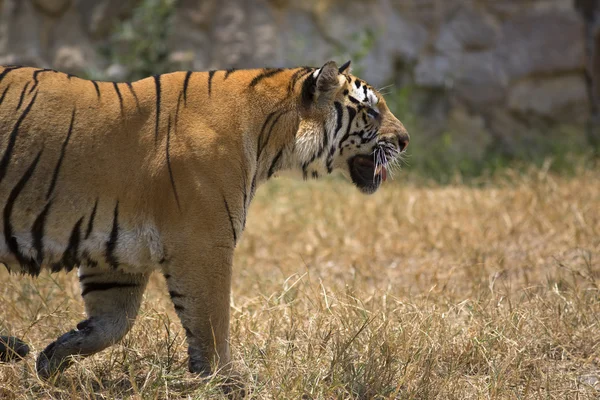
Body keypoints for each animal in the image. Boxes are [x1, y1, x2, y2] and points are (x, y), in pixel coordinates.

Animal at [0, 61, 408, 382]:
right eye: (371, 112)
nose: (405, 140)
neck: (272, 139)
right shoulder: (203, 243)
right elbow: (212, 322)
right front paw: (224, 382)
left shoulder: (117, 254)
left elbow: (111, 324)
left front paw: (51, 359)